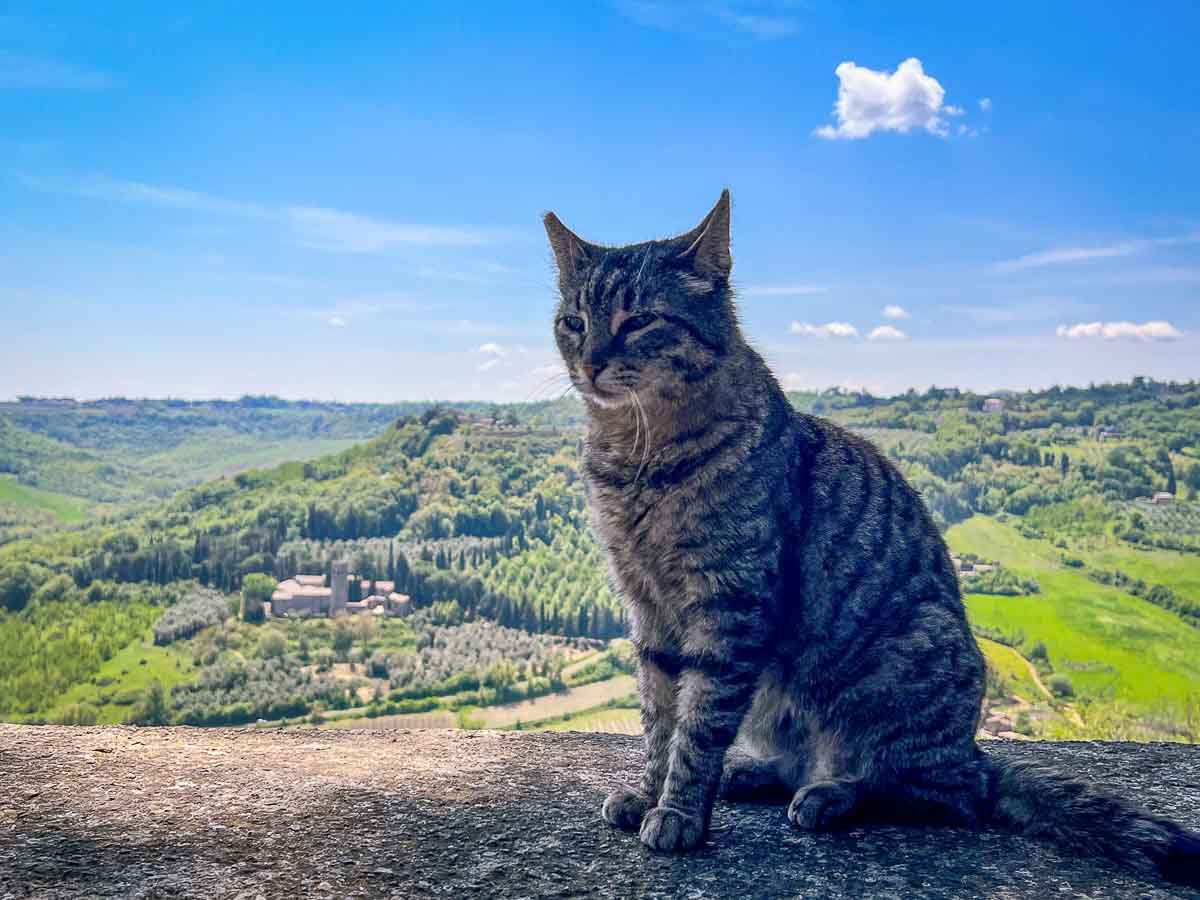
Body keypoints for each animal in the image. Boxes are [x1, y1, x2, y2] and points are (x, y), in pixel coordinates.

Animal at [547, 192, 1200, 888]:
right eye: (574, 322)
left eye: (640, 319)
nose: (589, 361)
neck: (637, 453)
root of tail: (973, 750)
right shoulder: (648, 609)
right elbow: (659, 720)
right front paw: (650, 792)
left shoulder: (731, 607)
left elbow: (696, 729)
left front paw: (677, 813)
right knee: (814, 765)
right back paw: (754, 772)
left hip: (904, 665)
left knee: (932, 791)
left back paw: (832, 795)